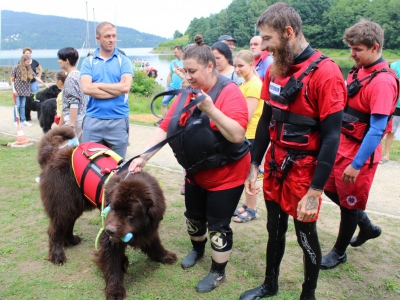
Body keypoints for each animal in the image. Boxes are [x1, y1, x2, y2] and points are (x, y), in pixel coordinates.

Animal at [38, 126, 178, 300]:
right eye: (113, 207)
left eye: (130, 214)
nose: (110, 230)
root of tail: (54, 153)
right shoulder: (109, 237)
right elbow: (113, 265)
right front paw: (115, 290)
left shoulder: (148, 228)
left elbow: (154, 243)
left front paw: (165, 256)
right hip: (63, 202)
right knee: (56, 228)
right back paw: (57, 255)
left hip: (75, 204)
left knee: (68, 223)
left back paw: (70, 240)